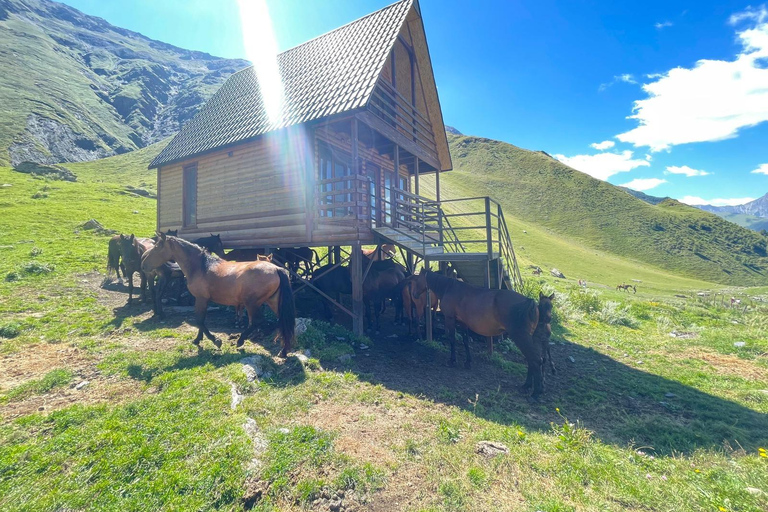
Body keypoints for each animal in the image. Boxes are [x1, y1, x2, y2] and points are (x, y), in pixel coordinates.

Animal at [140, 234, 296, 354]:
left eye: (157, 247)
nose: (143, 264)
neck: (201, 266)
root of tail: (276, 269)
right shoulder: (202, 300)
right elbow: (201, 320)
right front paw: (198, 340)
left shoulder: (201, 299)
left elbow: (199, 321)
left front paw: (215, 341)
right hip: (272, 301)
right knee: (283, 321)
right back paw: (284, 351)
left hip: (252, 303)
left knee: (257, 321)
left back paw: (240, 341)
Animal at [412, 268, 544, 400]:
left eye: (417, 279)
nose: (414, 294)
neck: (449, 288)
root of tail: (530, 302)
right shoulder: (463, 322)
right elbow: (465, 341)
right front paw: (468, 362)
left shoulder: (450, 319)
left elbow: (452, 339)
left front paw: (452, 361)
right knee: (532, 360)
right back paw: (527, 386)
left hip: (521, 337)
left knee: (534, 359)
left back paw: (536, 392)